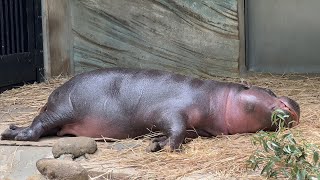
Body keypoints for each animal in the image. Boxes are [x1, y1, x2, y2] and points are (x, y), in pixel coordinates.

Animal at [0, 68, 300, 151]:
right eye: (269, 91)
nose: (295, 101)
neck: (221, 98)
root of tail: (53, 93)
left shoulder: (196, 128)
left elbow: (180, 134)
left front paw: (156, 143)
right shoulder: (173, 112)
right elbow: (176, 131)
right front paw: (164, 147)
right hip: (62, 109)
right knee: (37, 126)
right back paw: (10, 133)